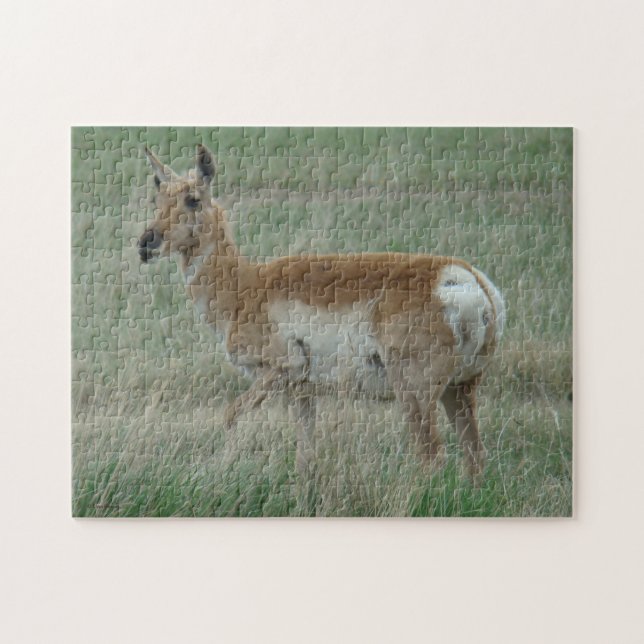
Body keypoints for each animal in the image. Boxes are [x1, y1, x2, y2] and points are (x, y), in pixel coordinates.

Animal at [138, 144, 505, 481]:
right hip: (460, 388)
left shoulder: (278, 370)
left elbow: (229, 415)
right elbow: (305, 456)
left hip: (415, 393)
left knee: (432, 456)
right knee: (475, 455)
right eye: (157, 199)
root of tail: (465, 279)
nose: (146, 242)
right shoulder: (302, 393)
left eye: (193, 199)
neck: (246, 285)